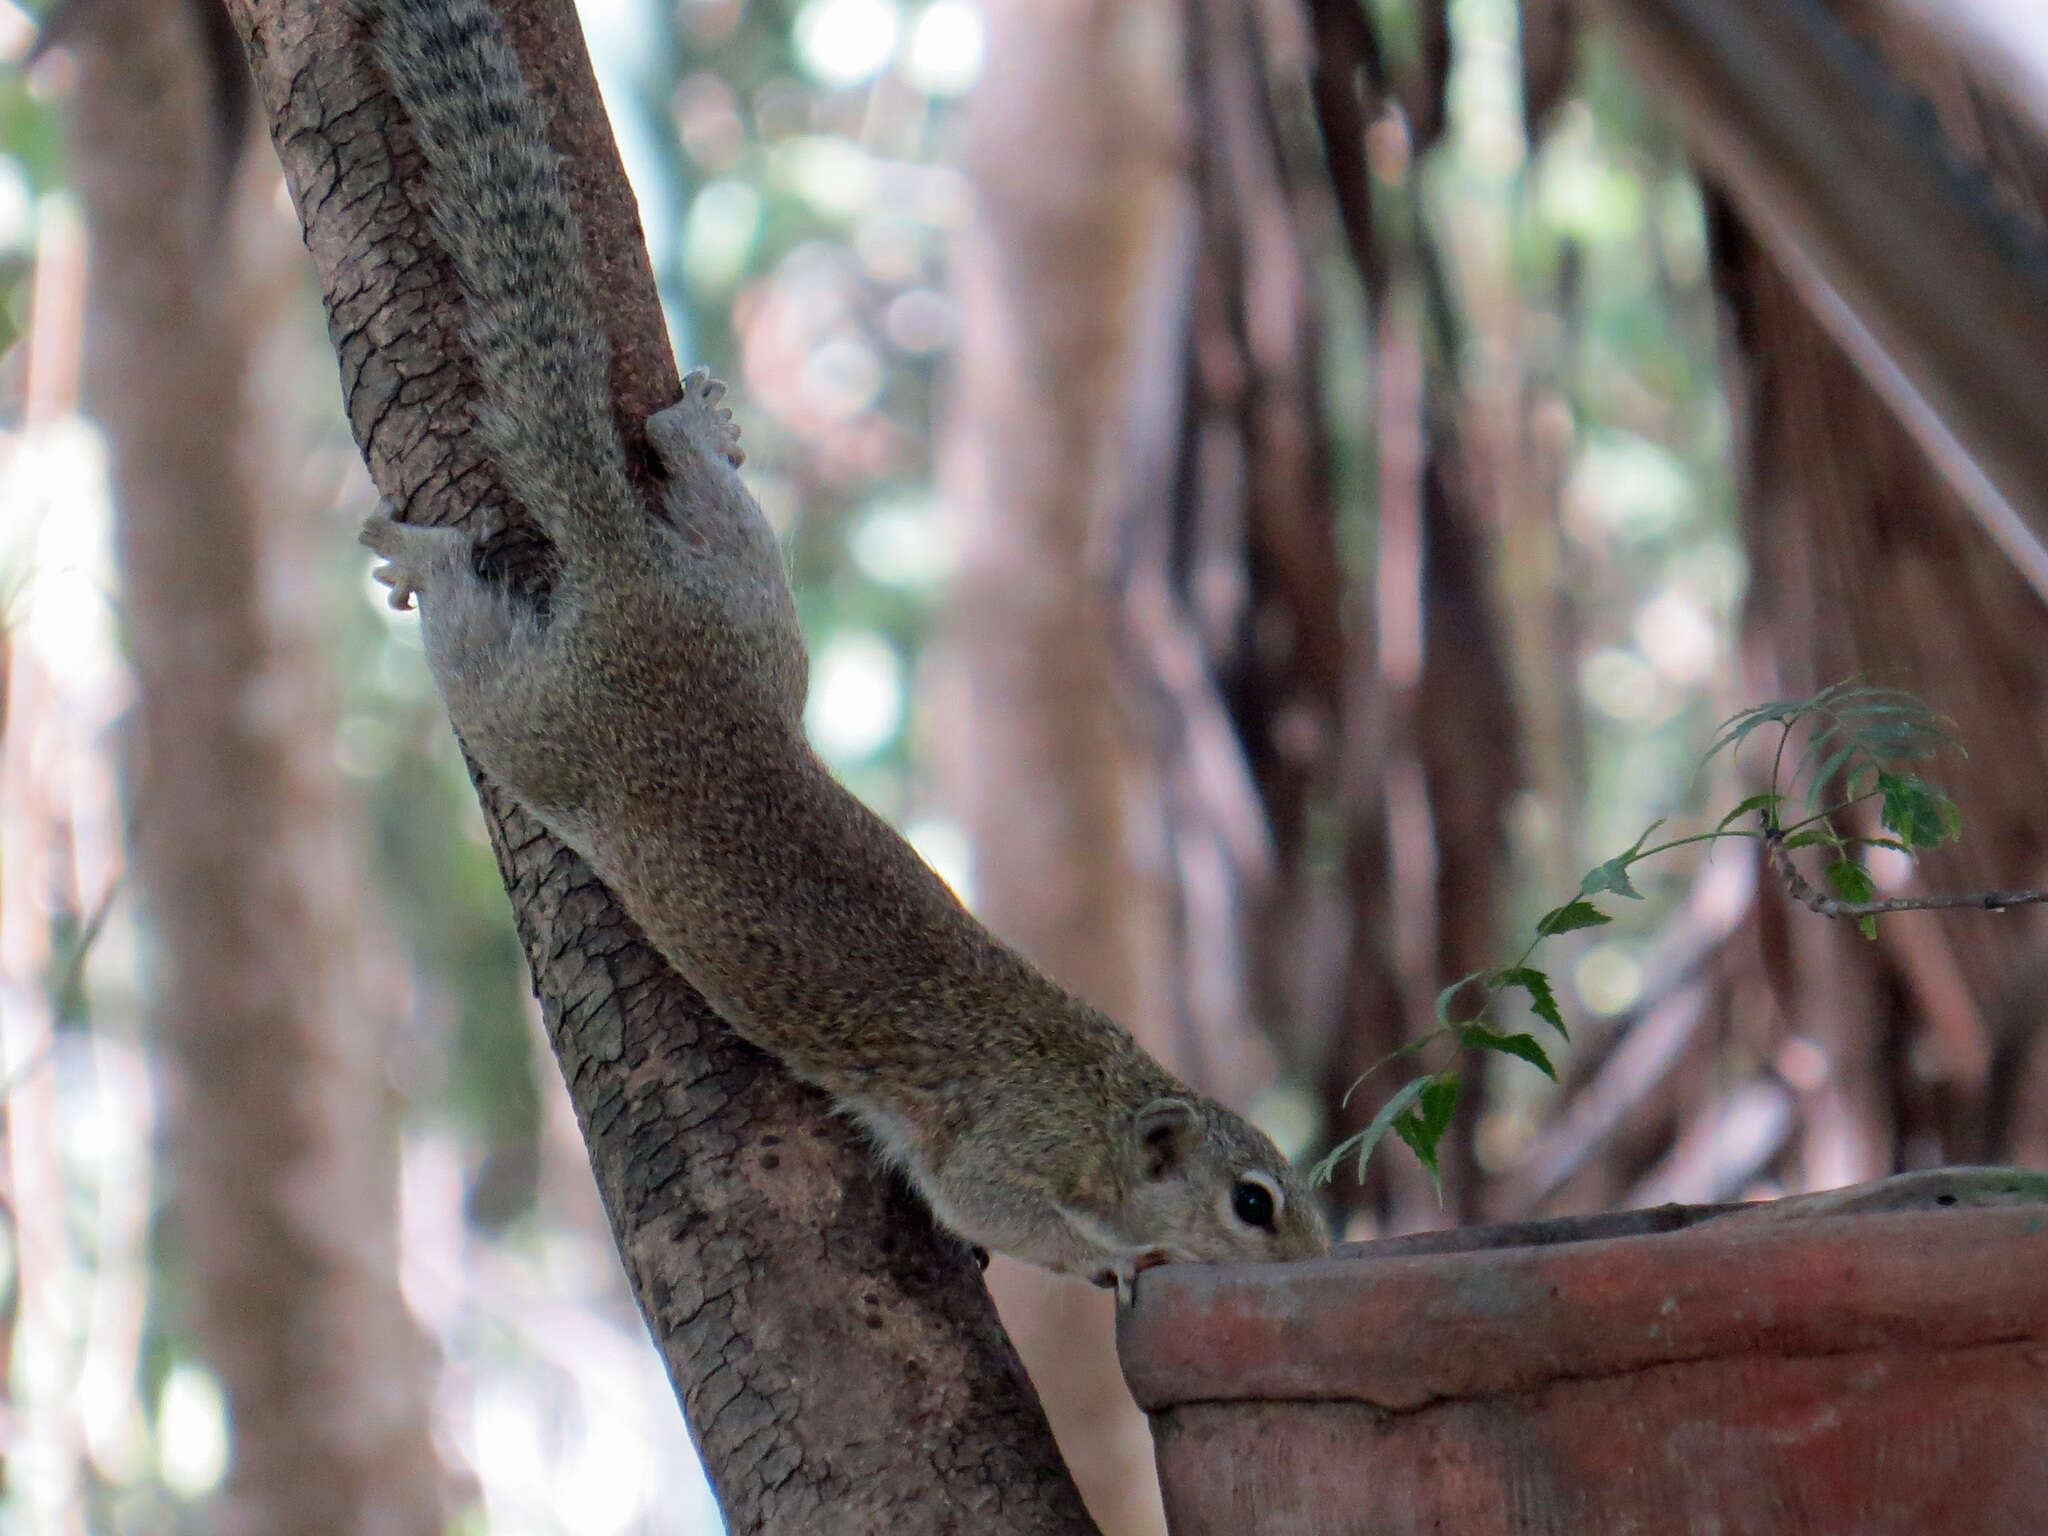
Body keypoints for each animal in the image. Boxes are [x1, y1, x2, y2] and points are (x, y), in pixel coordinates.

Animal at [352, 0, 1327, 1294]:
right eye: (1251, 1202)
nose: (1320, 1256)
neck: (1099, 1091)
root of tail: (626, 580)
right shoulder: (1001, 1152)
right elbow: (994, 1212)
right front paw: (1132, 1263)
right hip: (543, 726)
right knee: (477, 652)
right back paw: (429, 561)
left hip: (755, 616)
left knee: (716, 513)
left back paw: (689, 433)